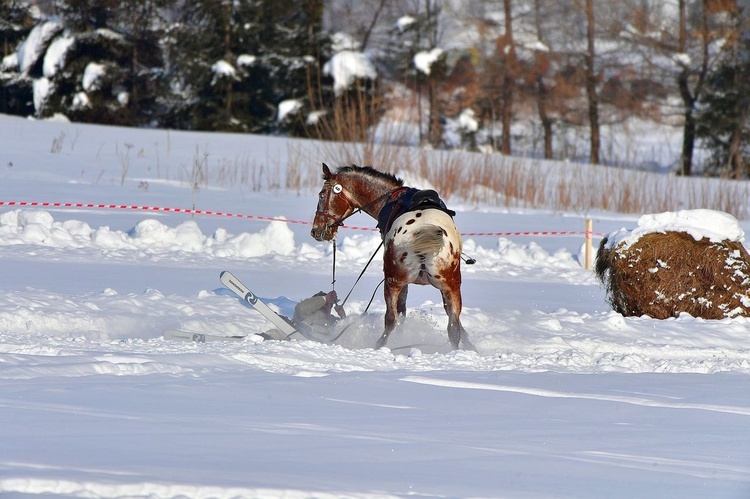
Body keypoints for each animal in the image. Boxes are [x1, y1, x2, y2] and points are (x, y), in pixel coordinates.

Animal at [308, 164, 472, 352]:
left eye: (322, 195)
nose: (316, 230)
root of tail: (424, 228)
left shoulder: (402, 283)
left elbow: (400, 312)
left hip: (392, 282)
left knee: (391, 319)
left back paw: (381, 345)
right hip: (451, 286)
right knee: (453, 326)